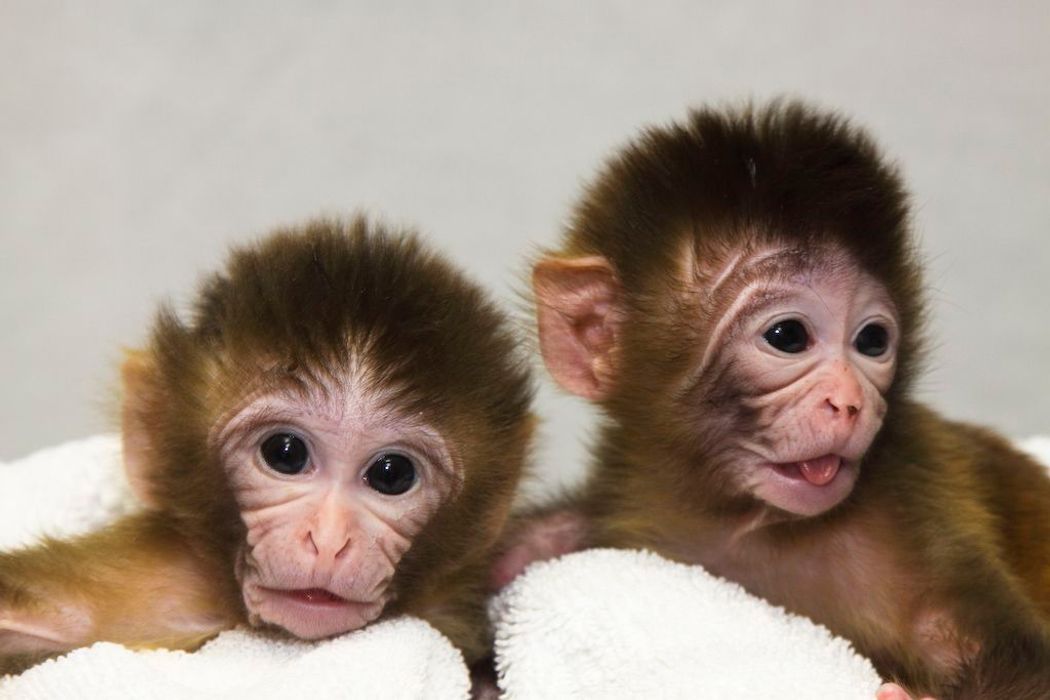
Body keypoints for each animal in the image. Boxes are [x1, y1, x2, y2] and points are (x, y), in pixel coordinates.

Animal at [517, 101, 1050, 699]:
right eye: (788, 336)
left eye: (872, 341)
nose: (849, 401)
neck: (742, 520)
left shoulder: (916, 493)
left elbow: (1024, 660)